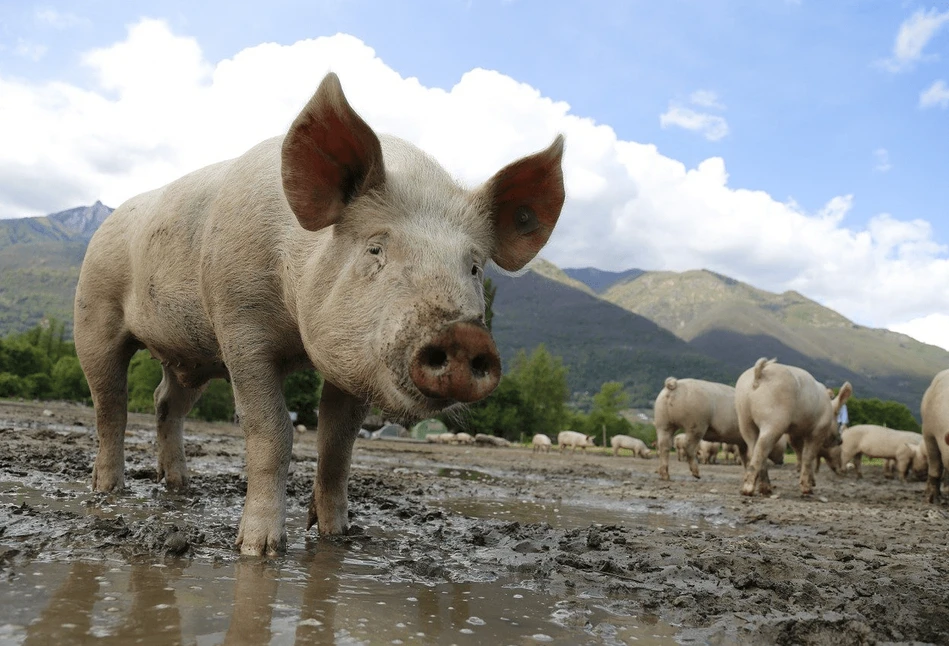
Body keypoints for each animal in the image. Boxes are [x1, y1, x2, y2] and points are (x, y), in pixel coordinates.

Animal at [76, 71, 564, 556]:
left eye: (474, 267)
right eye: (375, 249)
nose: (464, 335)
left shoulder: (354, 360)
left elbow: (338, 444)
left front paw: (337, 535)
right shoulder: (239, 326)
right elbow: (272, 432)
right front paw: (260, 549)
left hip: (189, 356)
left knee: (165, 403)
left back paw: (179, 485)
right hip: (94, 310)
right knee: (111, 404)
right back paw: (108, 490)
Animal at [732, 356, 852, 498]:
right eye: (838, 421)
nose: (841, 440)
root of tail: (759, 374)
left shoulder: (795, 433)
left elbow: (800, 453)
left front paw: (812, 484)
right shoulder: (818, 430)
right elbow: (808, 456)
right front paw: (807, 490)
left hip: (744, 417)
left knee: (753, 447)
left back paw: (766, 490)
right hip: (773, 419)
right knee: (761, 448)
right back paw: (748, 491)